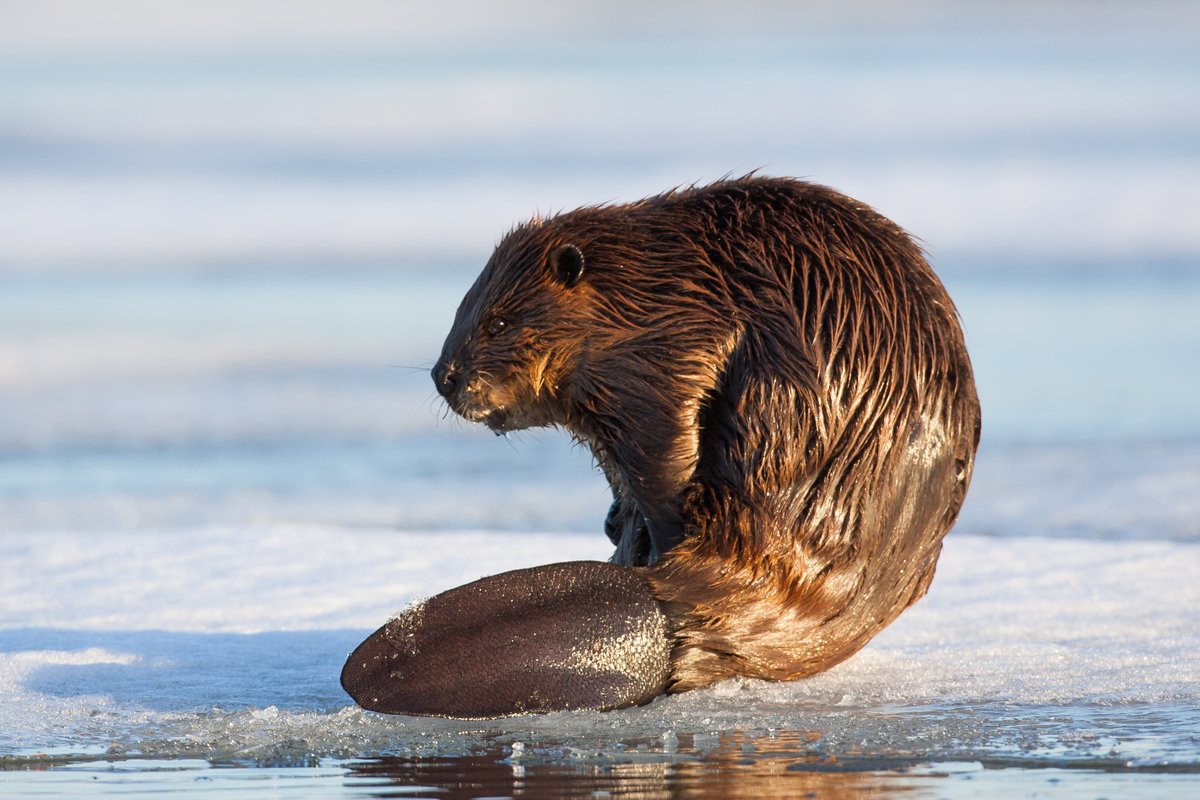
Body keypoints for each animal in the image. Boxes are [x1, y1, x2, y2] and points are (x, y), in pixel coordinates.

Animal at [338, 178, 974, 714]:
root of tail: (668, 611)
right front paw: (622, 523)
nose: (444, 377)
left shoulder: (660, 354)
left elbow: (661, 451)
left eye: (497, 324)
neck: (643, 284)